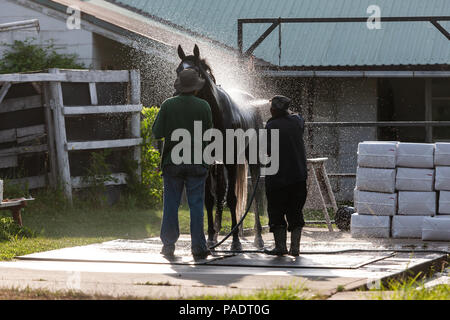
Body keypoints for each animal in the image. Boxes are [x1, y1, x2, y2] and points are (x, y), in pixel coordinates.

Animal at [176, 45, 266, 250]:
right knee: (219, 194)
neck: (216, 114)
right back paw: (217, 234)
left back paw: (258, 238)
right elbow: (210, 200)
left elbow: (232, 199)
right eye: (178, 70)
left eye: (197, 72)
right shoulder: (207, 163)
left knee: (255, 196)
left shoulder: (231, 162)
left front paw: (235, 241)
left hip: (252, 159)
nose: (178, 94)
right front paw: (210, 237)